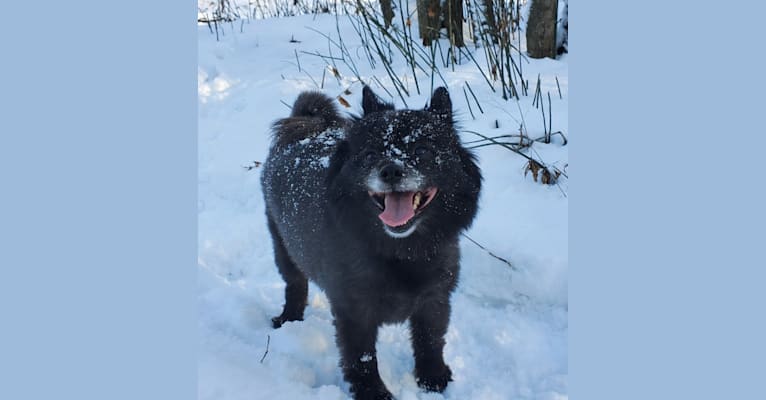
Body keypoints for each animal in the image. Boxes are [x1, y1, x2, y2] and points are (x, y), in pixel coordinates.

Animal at [260, 86, 484, 398]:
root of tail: (308, 125)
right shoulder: (355, 310)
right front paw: (373, 392)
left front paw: (432, 378)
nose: (390, 170)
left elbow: (430, 340)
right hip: (284, 249)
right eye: (371, 154)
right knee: (295, 285)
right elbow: (362, 357)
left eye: (422, 150)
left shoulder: (435, 299)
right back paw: (289, 318)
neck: (401, 252)